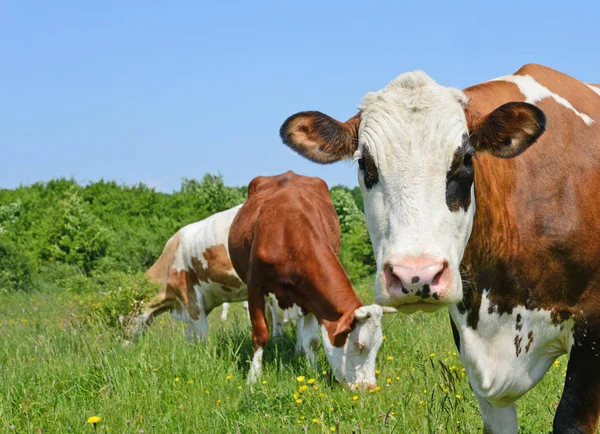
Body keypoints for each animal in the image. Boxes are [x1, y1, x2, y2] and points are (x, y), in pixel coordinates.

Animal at [227, 171, 396, 388]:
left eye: (378, 346)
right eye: (360, 346)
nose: (370, 388)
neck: (288, 230)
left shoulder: (310, 294)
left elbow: (313, 340)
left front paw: (312, 371)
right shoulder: (254, 285)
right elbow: (260, 333)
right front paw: (253, 378)